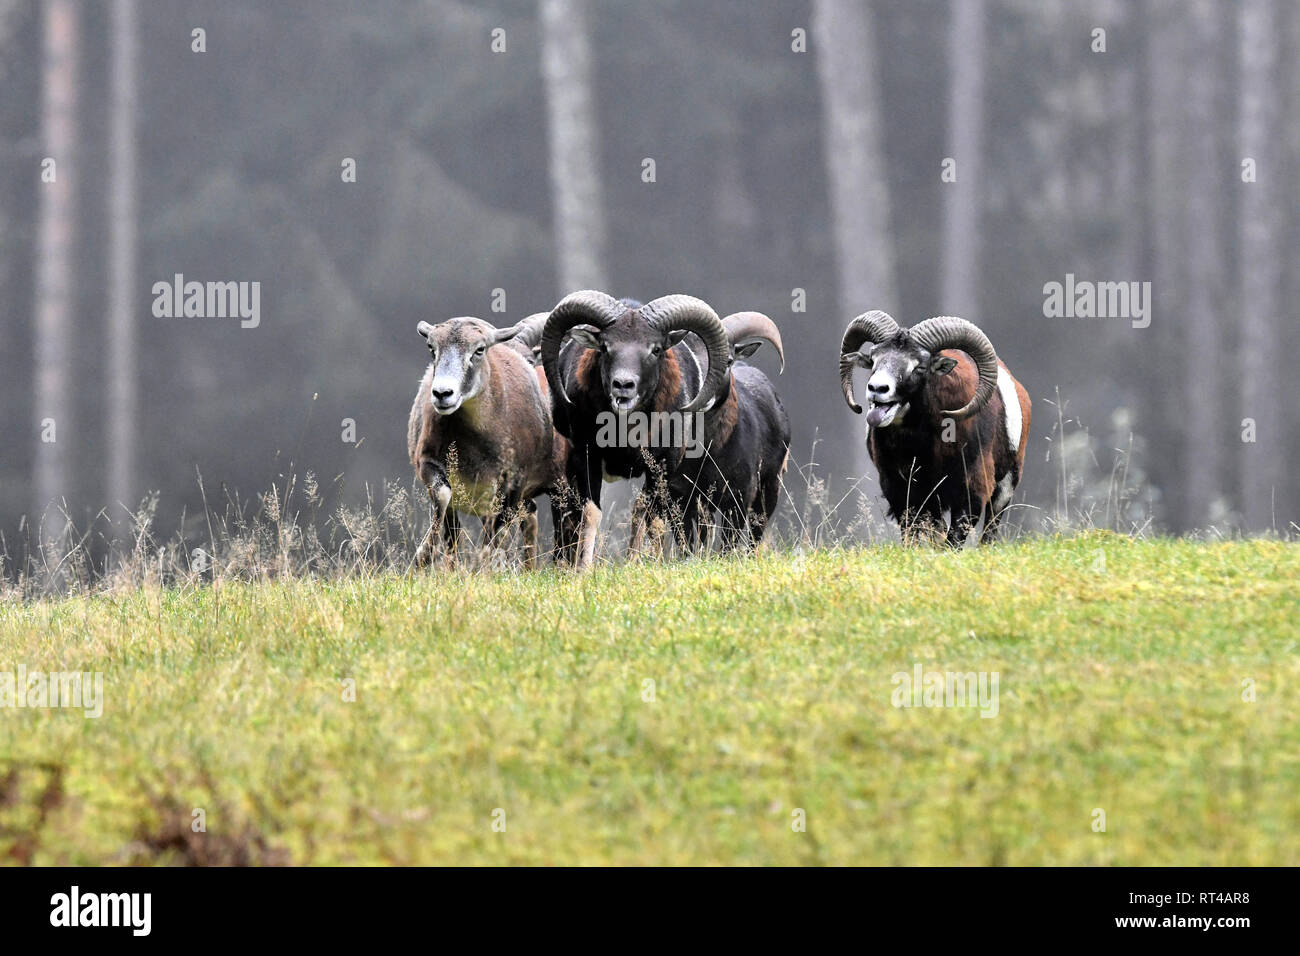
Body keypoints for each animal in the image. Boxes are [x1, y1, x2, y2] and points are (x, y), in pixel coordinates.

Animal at [408, 315, 562, 569]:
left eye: (479, 349)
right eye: (432, 348)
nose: (442, 394)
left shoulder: (513, 482)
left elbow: (494, 535)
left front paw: (482, 569)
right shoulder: (429, 463)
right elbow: (445, 505)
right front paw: (424, 556)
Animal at [539, 291, 733, 568]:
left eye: (656, 349)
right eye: (605, 347)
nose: (623, 384)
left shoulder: (662, 465)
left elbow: (647, 513)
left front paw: (636, 562)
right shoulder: (586, 458)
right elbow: (590, 513)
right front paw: (583, 569)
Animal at [670, 311, 791, 552]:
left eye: (728, 360)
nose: (703, 396)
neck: (708, 454)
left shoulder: (738, 496)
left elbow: (728, 543)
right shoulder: (679, 495)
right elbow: (687, 542)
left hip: (770, 487)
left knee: (755, 534)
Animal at [838, 311, 1031, 546]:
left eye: (920, 367)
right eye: (874, 359)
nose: (877, 388)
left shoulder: (971, 492)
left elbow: (954, 539)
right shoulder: (901, 492)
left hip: (1005, 487)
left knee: (990, 529)